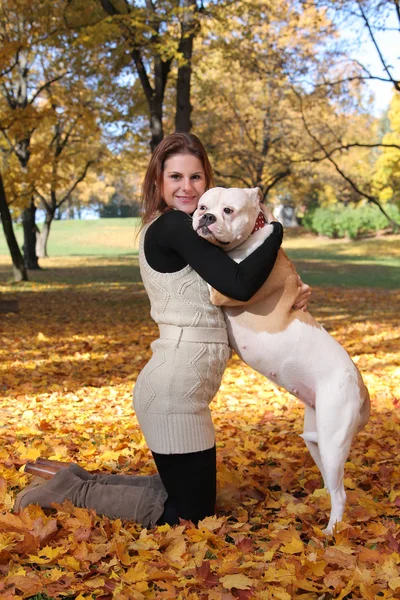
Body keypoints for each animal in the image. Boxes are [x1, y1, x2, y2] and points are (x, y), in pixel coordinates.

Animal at [192, 188, 370, 536]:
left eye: (228, 210)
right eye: (203, 205)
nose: (205, 218)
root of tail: (362, 387)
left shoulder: (222, 288)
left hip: (333, 440)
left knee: (341, 493)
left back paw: (330, 532)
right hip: (318, 438)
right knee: (331, 484)